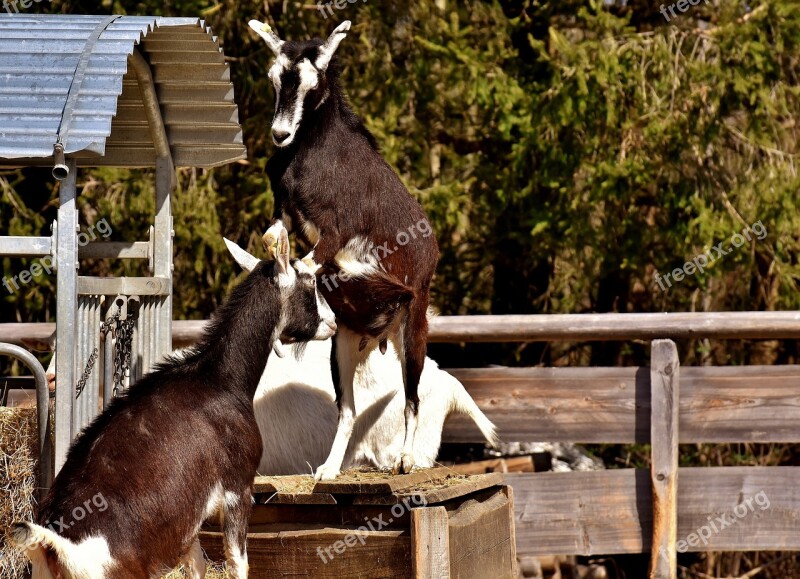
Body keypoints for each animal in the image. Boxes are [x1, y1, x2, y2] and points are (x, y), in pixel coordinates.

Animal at [13, 230, 338, 579]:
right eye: (311, 281)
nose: (333, 322)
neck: (219, 378)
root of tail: (59, 548)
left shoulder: (187, 519)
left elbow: (197, 565)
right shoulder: (238, 487)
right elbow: (238, 563)